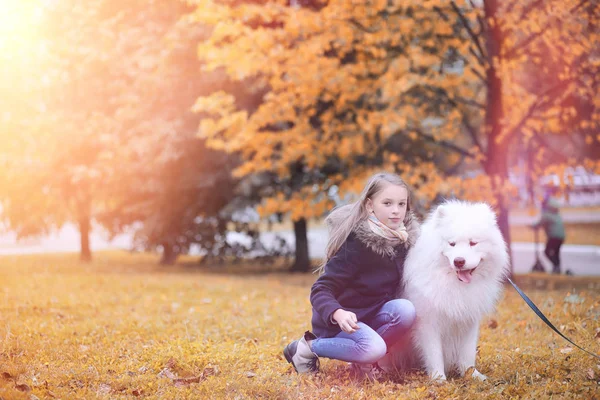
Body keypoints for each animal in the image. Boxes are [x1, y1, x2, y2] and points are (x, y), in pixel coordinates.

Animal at [384, 200, 510, 382]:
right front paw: (439, 379)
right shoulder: (428, 322)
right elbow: (434, 353)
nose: (459, 261)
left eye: (473, 243)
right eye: (452, 244)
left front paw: (472, 375)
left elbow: (467, 353)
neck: (455, 285)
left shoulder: (468, 320)